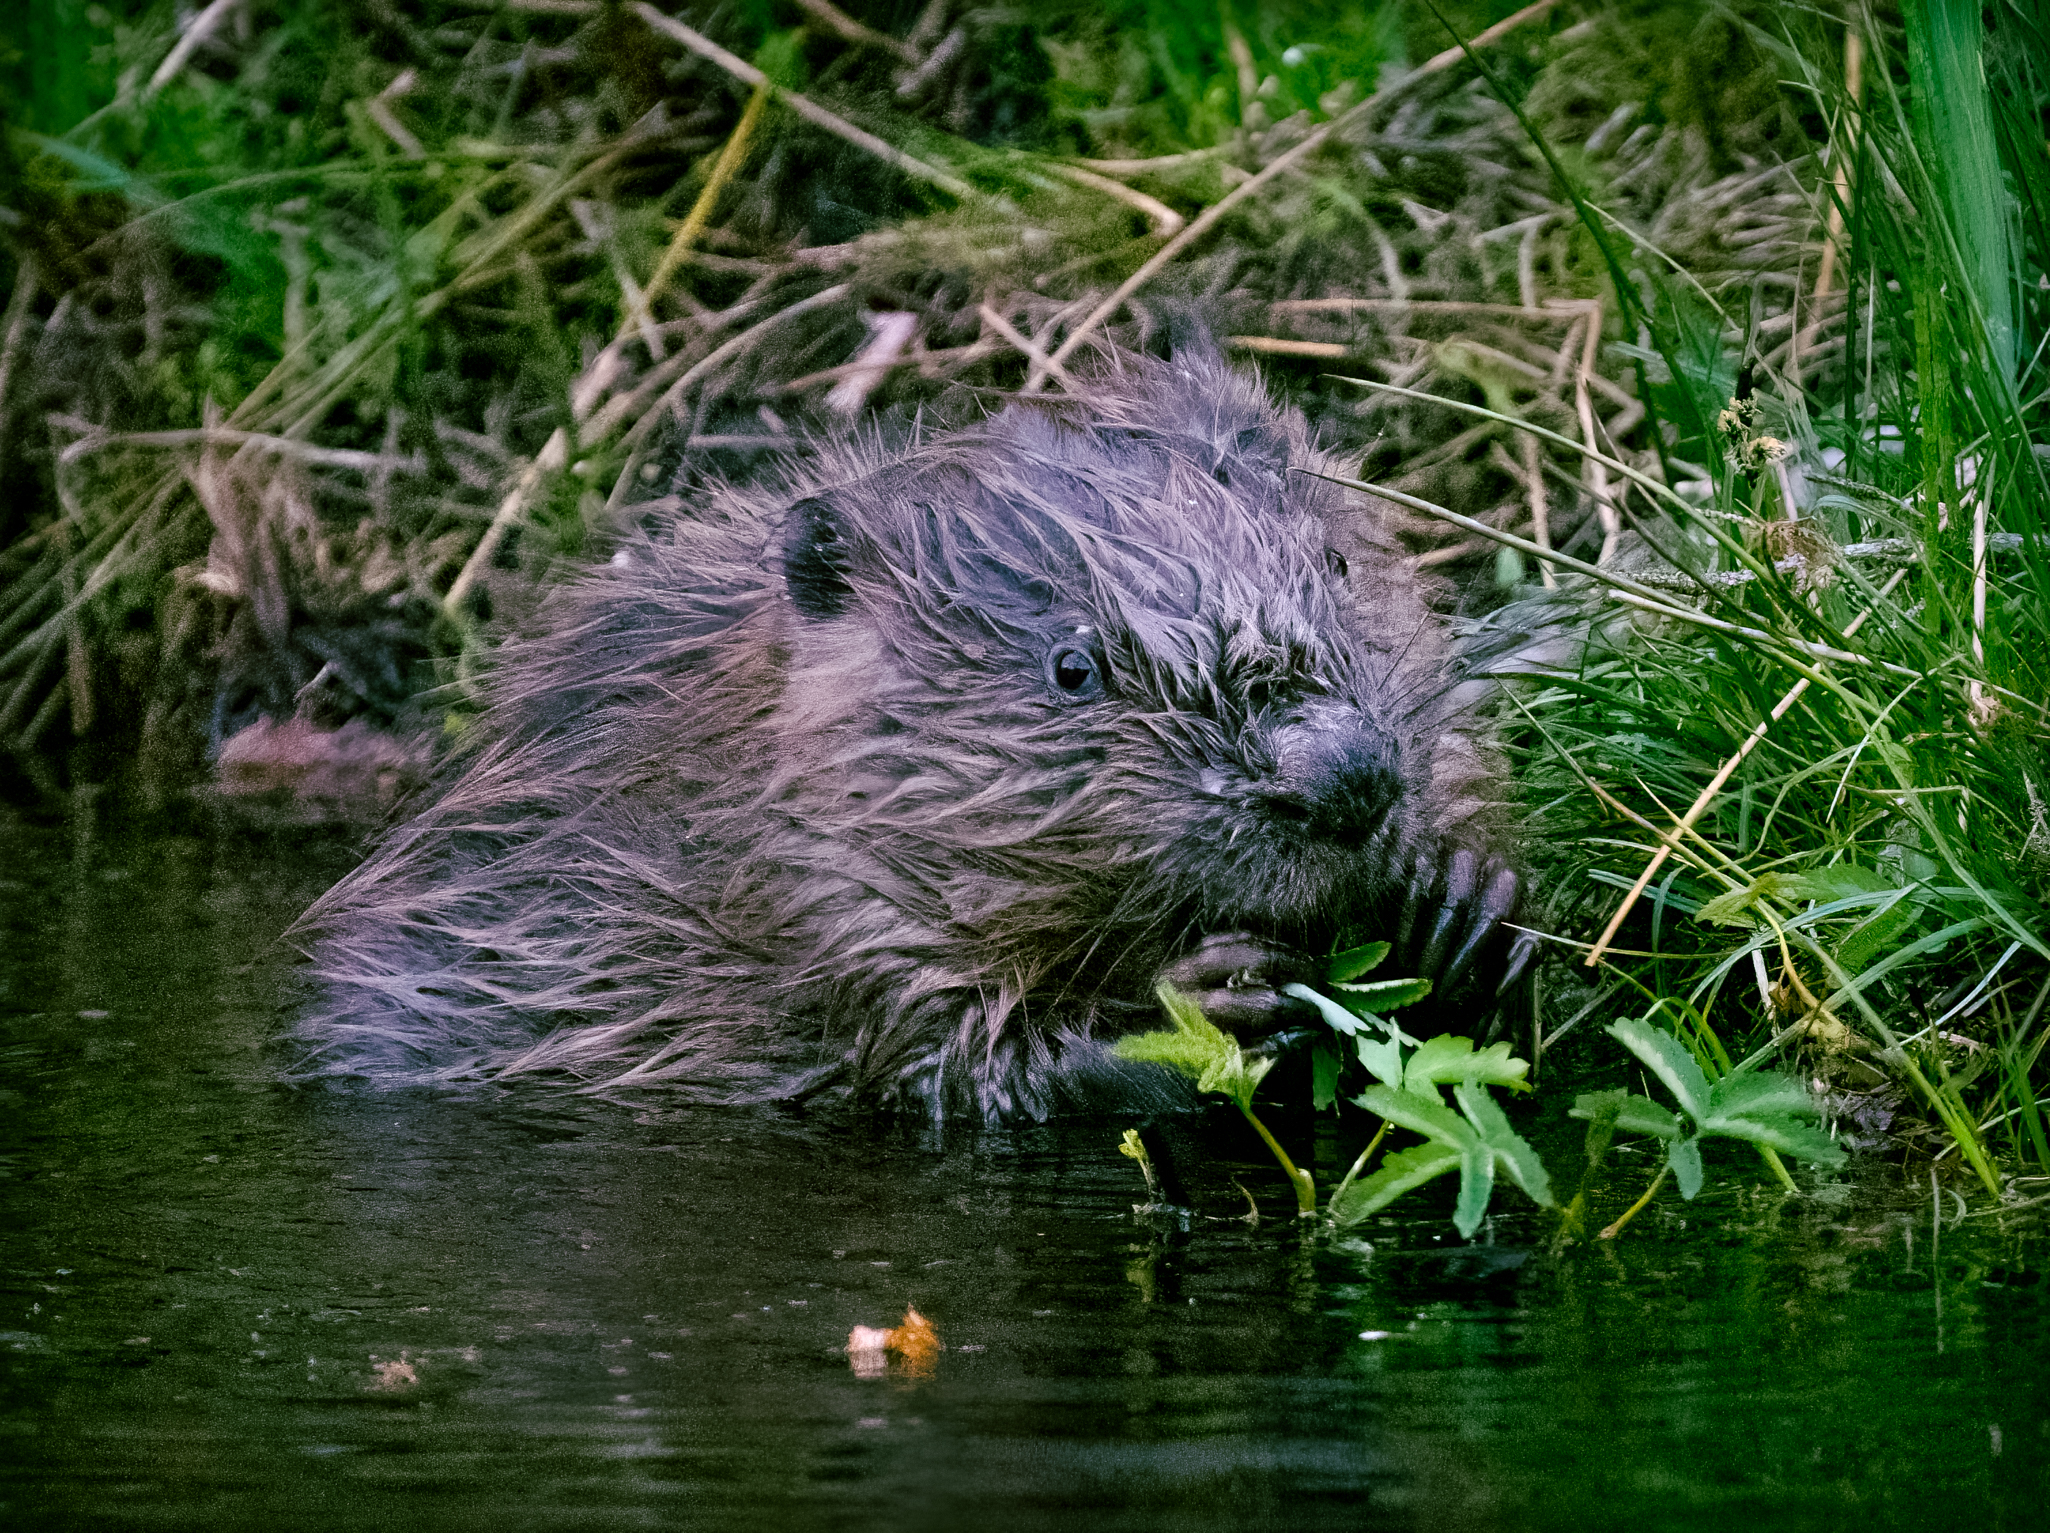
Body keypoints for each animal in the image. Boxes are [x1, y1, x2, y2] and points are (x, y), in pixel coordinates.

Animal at [297, 346, 1533, 1114]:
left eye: (1336, 566)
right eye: (1072, 666)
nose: (1344, 777)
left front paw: (1465, 895)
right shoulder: (806, 901)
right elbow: (947, 1057)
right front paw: (1211, 991)